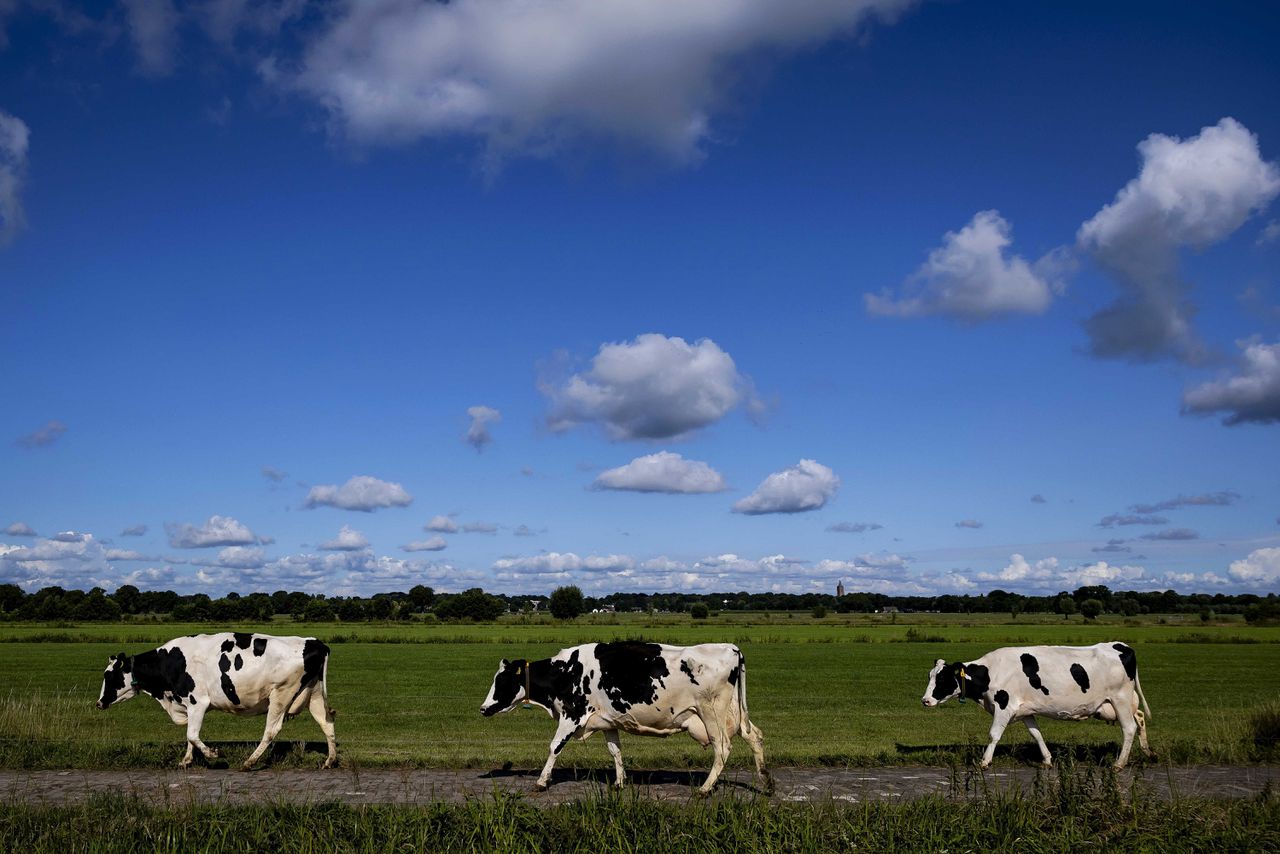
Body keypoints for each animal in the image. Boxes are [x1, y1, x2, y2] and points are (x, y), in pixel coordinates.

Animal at [97, 632, 337, 773]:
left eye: (110, 676)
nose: (99, 703)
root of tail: (315, 642)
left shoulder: (197, 702)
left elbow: (192, 734)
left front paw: (214, 754)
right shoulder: (188, 704)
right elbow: (190, 736)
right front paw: (186, 760)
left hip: (281, 693)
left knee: (271, 729)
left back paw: (249, 762)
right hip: (314, 693)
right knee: (326, 722)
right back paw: (330, 760)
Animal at [481, 640, 768, 793]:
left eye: (501, 681)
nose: (483, 709)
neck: (566, 672)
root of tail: (730, 647)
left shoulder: (572, 715)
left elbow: (554, 747)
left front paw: (541, 782)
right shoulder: (607, 720)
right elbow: (615, 751)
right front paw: (620, 782)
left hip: (712, 713)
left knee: (723, 747)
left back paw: (705, 789)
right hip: (734, 713)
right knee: (754, 736)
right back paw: (766, 783)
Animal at [921, 645, 1152, 773]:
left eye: (942, 679)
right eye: (930, 676)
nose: (925, 700)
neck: (990, 672)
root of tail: (1120, 645)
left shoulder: (1004, 706)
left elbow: (994, 735)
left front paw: (984, 762)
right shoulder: (1026, 711)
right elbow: (1037, 735)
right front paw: (1047, 760)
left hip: (1120, 699)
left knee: (1129, 728)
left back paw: (1119, 764)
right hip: (1121, 703)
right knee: (1140, 718)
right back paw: (1148, 752)